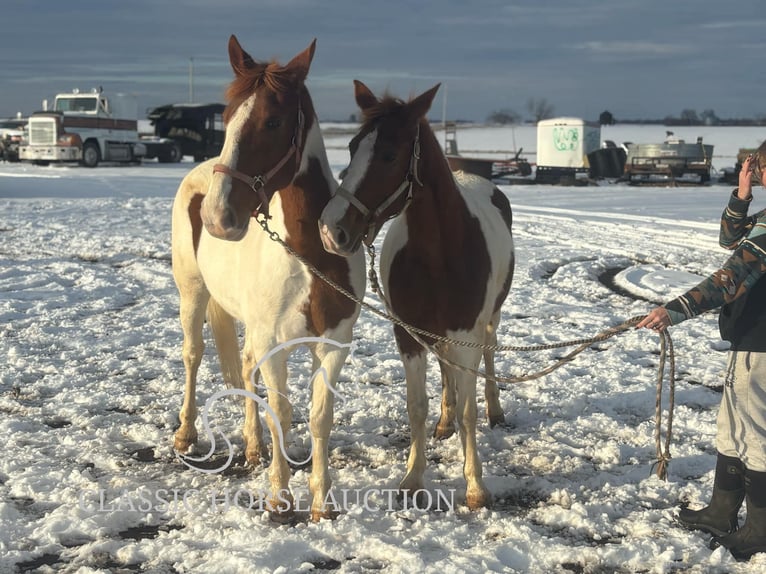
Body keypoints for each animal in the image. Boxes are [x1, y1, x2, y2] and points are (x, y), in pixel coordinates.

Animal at [174, 36, 366, 520]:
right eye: (225, 118)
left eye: (273, 120)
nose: (218, 217)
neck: (308, 255)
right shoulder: (274, 340)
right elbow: (281, 409)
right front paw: (280, 496)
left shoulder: (332, 343)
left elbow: (319, 416)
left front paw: (321, 501)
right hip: (193, 294)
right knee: (193, 355)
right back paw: (185, 434)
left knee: (245, 369)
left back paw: (252, 446)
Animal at [318, 82, 516, 512]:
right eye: (353, 147)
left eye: (390, 154)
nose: (331, 229)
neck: (440, 254)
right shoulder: (407, 335)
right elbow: (417, 407)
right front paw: (413, 478)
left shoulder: (467, 334)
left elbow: (470, 411)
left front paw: (475, 485)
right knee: (445, 372)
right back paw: (445, 420)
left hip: (489, 320)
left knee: (490, 355)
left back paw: (495, 409)